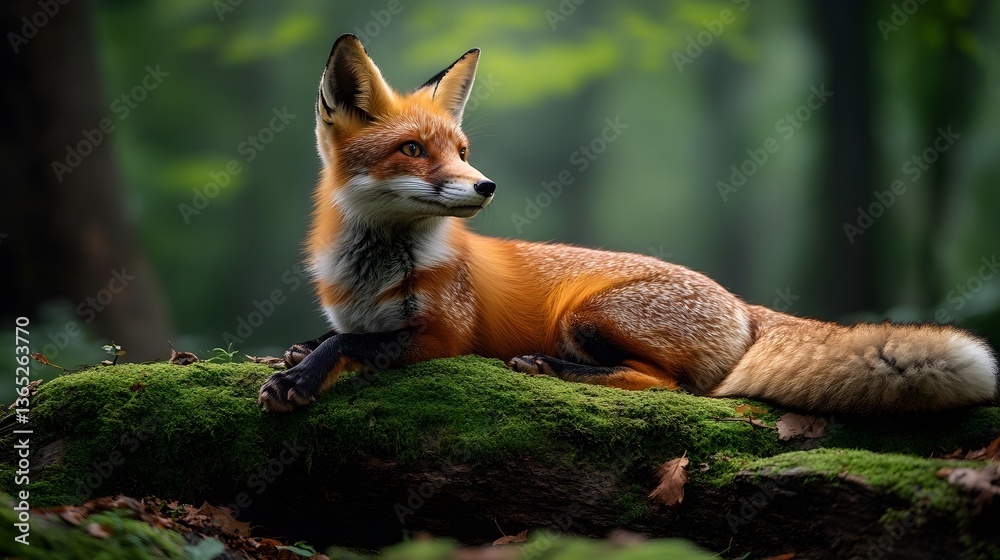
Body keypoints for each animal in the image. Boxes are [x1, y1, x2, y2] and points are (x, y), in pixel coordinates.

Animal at [258, 34, 999, 416]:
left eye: (462, 151)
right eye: (414, 149)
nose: (486, 185)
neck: (372, 273)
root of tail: (742, 304)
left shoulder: (445, 335)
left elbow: (350, 343)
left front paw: (298, 380)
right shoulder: (365, 316)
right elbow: (335, 335)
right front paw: (294, 355)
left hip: (585, 316)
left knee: (674, 386)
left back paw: (548, 367)